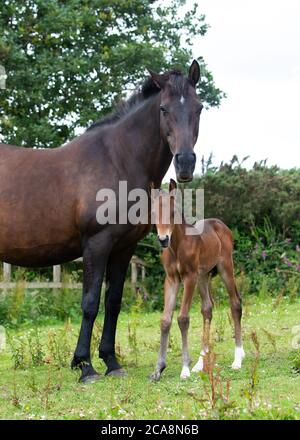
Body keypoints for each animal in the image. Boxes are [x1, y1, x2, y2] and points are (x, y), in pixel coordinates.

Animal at [151, 180, 245, 380]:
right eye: (153, 213)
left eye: (173, 213)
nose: (163, 239)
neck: (177, 246)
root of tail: (220, 224)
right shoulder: (171, 279)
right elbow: (165, 320)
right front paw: (158, 368)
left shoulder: (189, 277)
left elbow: (183, 318)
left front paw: (185, 368)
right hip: (203, 276)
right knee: (207, 309)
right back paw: (201, 363)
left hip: (225, 268)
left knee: (235, 303)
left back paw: (238, 358)